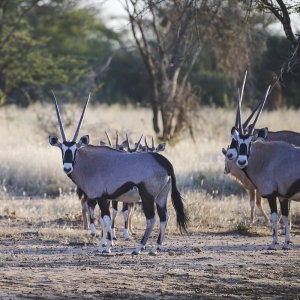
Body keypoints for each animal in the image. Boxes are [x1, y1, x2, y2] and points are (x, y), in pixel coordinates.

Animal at [49, 94, 186, 255]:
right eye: (62, 150)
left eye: (75, 149)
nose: (67, 167)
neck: (90, 163)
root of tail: (165, 162)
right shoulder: (104, 198)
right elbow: (103, 220)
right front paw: (100, 246)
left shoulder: (100, 197)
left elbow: (106, 219)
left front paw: (108, 247)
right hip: (161, 197)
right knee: (164, 217)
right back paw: (155, 248)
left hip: (148, 197)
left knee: (151, 219)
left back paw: (138, 248)